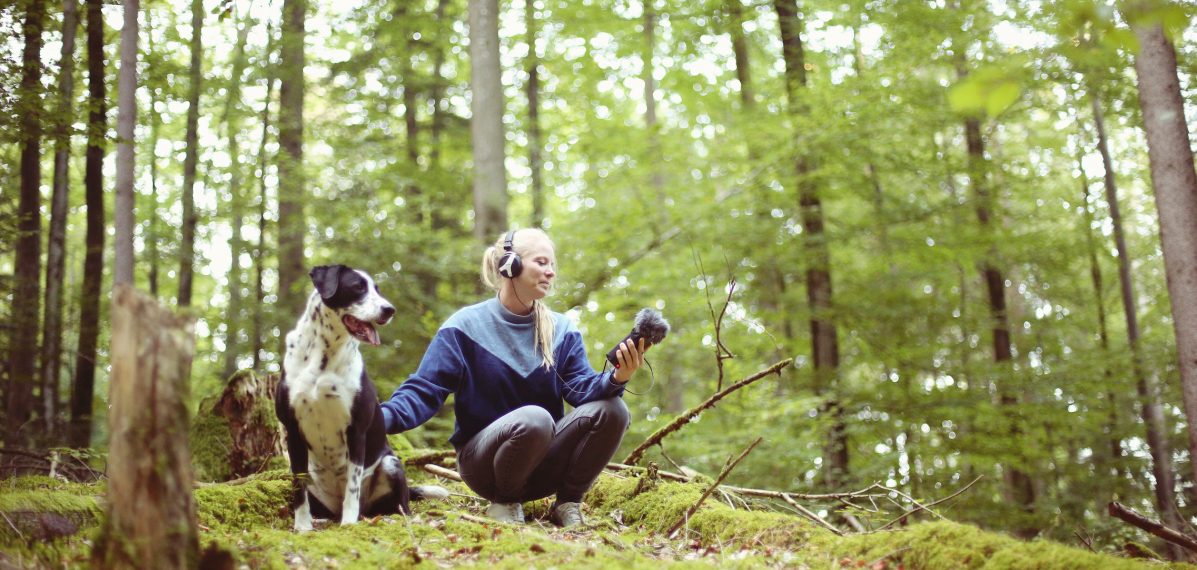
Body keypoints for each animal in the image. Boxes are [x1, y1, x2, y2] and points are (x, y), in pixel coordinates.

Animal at [275, 263, 445, 529]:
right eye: (357, 287)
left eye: (378, 289)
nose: (389, 310)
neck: (324, 355)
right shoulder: (292, 429)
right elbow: (298, 487)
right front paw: (302, 527)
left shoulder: (356, 430)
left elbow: (352, 487)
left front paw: (348, 523)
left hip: (390, 464)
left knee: (400, 505)